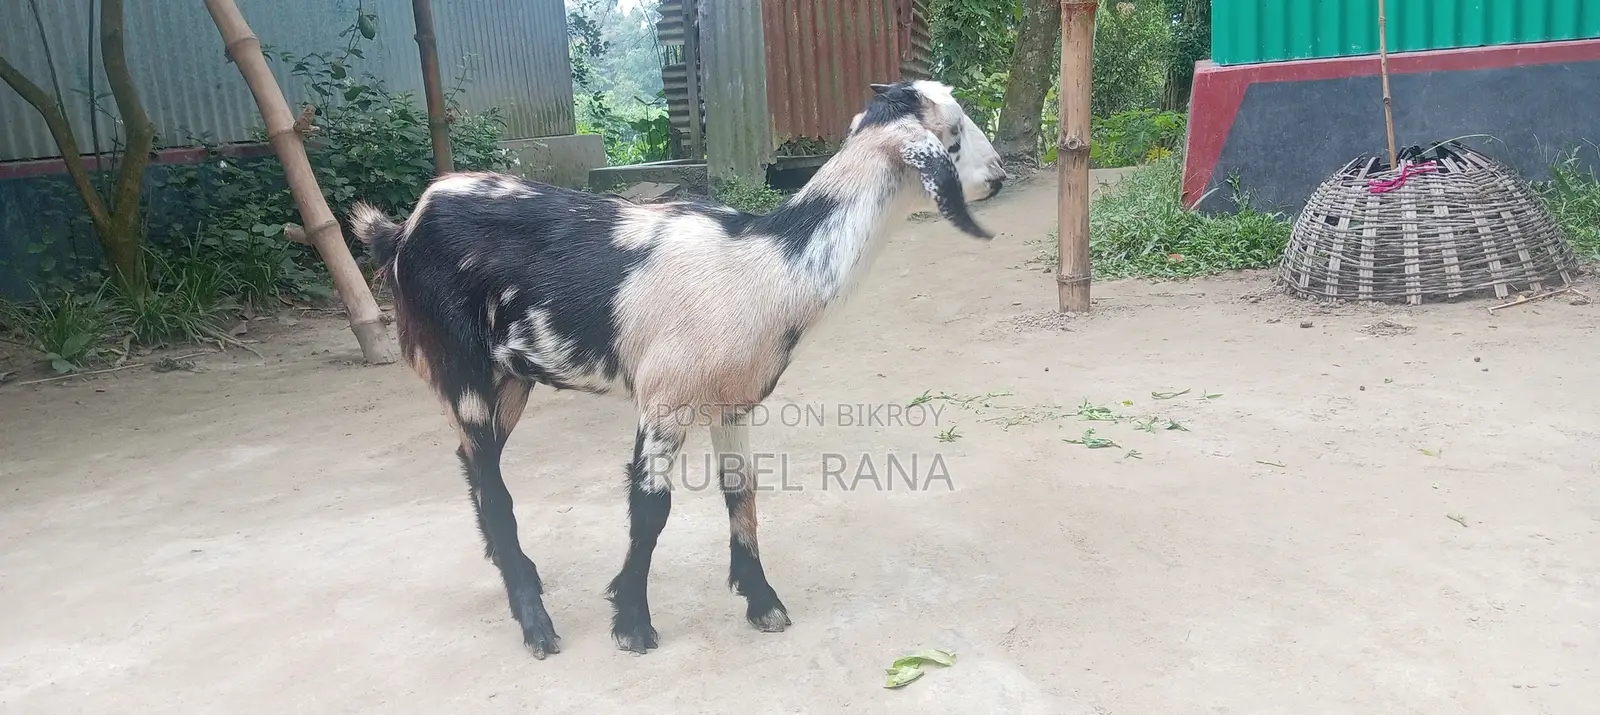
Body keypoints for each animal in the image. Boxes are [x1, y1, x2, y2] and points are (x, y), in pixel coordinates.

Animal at [348, 79, 1008, 658]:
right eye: (953, 136)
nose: (1000, 176)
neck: (769, 263)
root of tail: (400, 231)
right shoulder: (665, 399)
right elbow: (651, 509)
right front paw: (632, 623)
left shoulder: (732, 402)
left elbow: (741, 491)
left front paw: (763, 602)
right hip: (459, 364)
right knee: (491, 482)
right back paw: (535, 622)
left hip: (510, 377)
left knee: (473, 463)